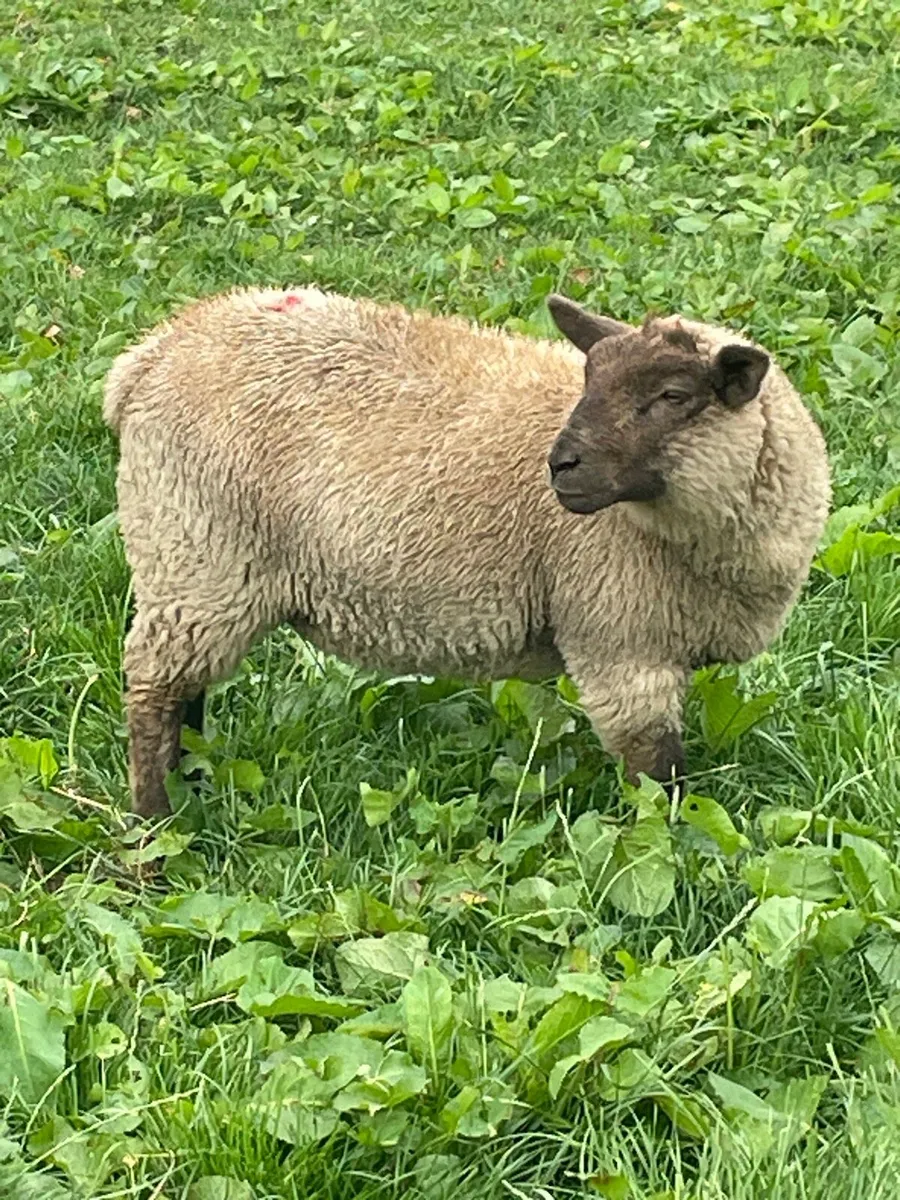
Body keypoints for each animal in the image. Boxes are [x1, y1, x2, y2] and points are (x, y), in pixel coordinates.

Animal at [103, 286, 831, 817]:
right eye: (589, 380)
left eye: (674, 396)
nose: (561, 466)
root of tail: (155, 351)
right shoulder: (622, 645)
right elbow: (659, 777)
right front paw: (672, 850)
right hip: (194, 549)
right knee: (154, 690)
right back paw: (157, 825)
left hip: (201, 569)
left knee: (187, 688)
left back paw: (194, 780)